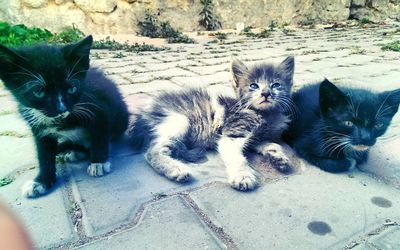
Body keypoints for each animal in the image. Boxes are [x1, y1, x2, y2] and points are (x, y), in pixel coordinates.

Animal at [0, 35, 128, 197]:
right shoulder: (38, 128)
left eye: (72, 89)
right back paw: (73, 150)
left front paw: (98, 162)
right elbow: (44, 154)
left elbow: (100, 137)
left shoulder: (100, 109)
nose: (61, 109)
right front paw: (41, 182)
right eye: (39, 92)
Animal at [130, 56, 296, 189]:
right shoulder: (232, 134)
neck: (266, 114)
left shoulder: (256, 138)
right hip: (179, 120)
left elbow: (271, 144)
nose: (266, 93)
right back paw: (176, 169)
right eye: (253, 86)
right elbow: (238, 158)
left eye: (276, 85)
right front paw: (242, 176)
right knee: (152, 151)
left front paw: (278, 157)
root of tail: (143, 112)